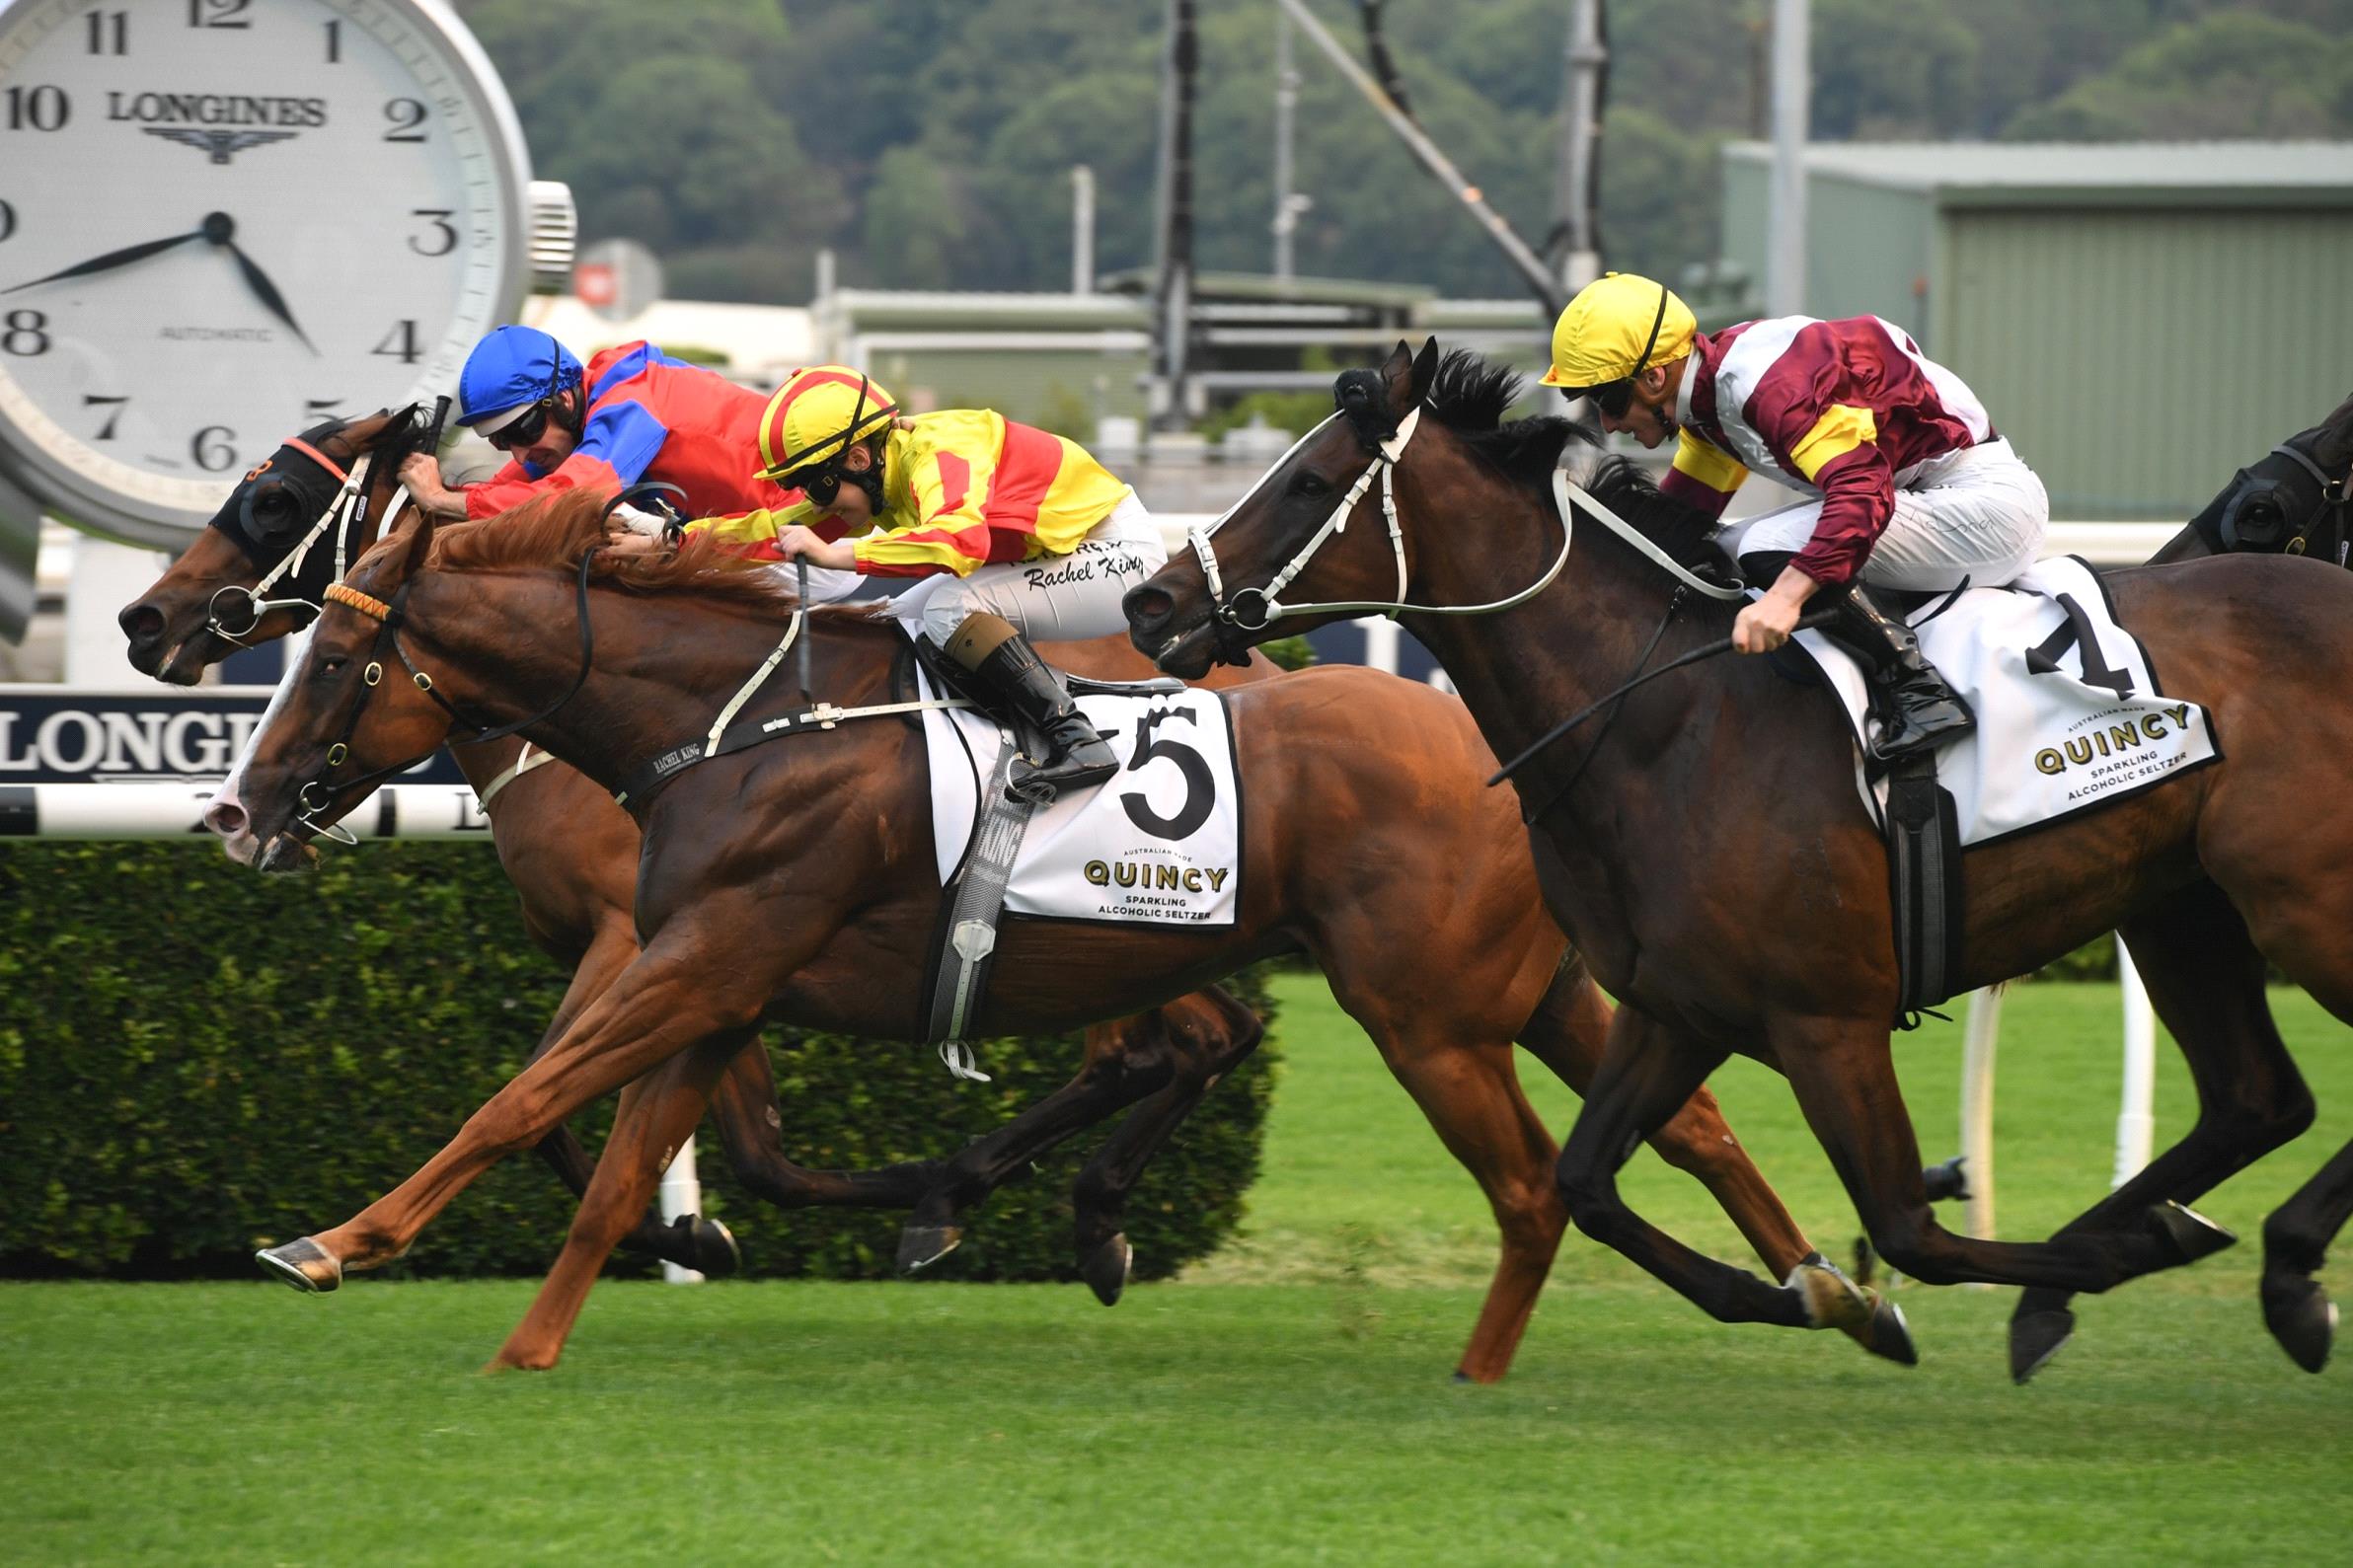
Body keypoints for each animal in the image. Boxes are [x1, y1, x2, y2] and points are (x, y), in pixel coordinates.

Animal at [114, 411, 1289, 1298]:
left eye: (270, 500)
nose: (142, 618)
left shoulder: (645, 937)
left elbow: (549, 1093)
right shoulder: (708, 949)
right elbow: (742, 1146)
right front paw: (701, 1230)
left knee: (1167, 1044)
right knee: (1205, 1037)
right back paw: (1064, 1211)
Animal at [211, 490, 1901, 1373]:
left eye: (336, 662)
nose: (239, 807)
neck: (732, 720)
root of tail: (1504, 749)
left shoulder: (698, 954)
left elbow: (523, 1103)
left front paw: (332, 1241)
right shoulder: (717, 976)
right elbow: (623, 1159)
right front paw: (537, 1343)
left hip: (1428, 1010)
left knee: (1550, 1170)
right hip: (1527, 989)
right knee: (1681, 1130)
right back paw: (1825, 1292)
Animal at [1119, 340, 2353, 1373]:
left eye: (1306, 484)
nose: (1148, 600)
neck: (1663, 716)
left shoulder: (1828, 1020)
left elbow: (1910, 1226)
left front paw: (2084, 1261)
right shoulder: (1676, 1005)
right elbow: (1586, 1180)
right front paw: (1819, 1294)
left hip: (2301, 902)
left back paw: (2271, 1265)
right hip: (2184, 904)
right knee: (2257, 1097)